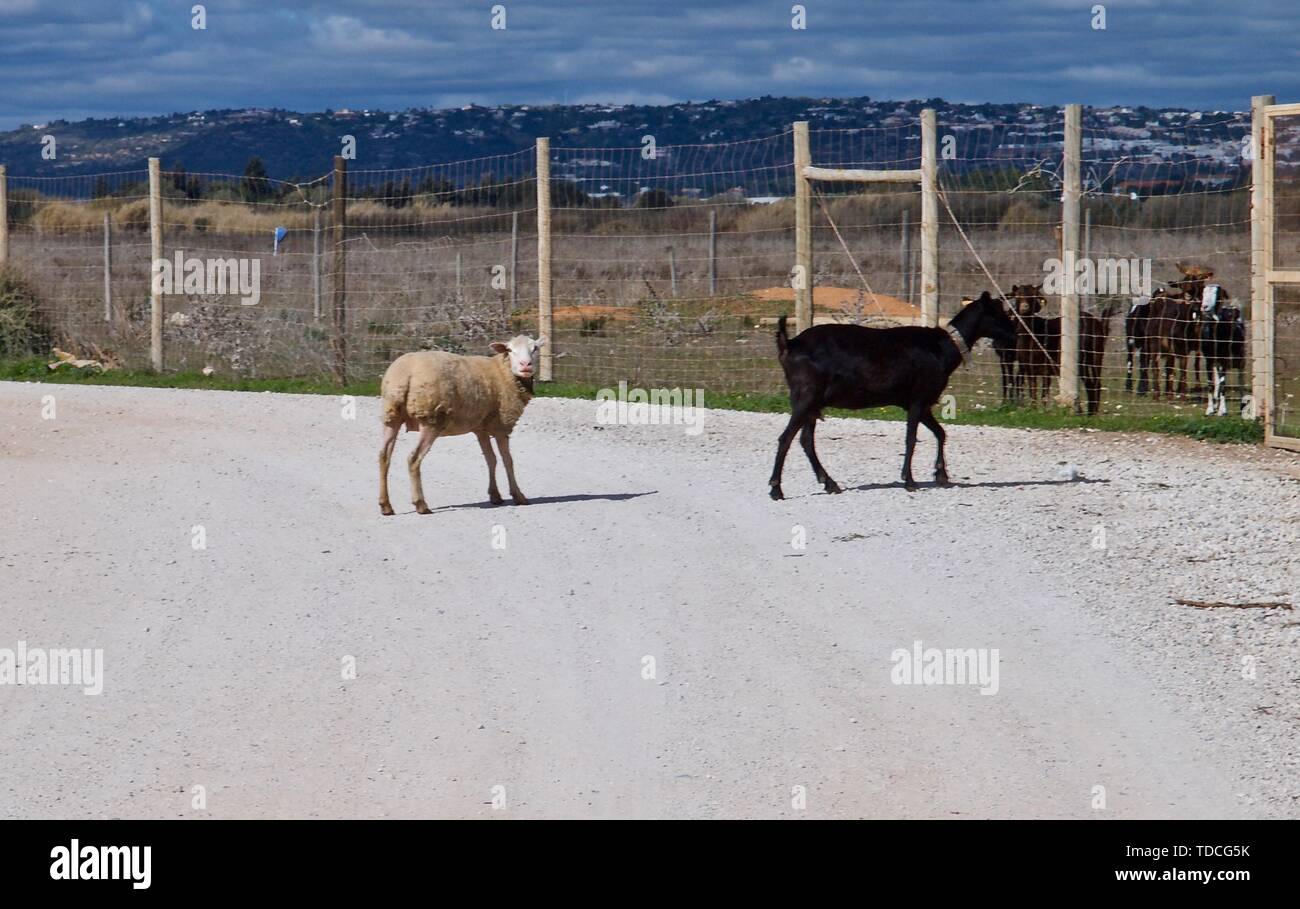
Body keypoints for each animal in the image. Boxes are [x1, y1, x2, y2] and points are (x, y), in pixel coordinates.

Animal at [378, 335, 546, 515]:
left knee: (384, 456)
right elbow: (508, 460)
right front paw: (518, 496)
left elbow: (491, 459)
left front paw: (495, 496)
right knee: (414, 459)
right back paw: (421, 504)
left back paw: (386, 505)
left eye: (535, 348)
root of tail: (404, 374)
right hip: (430, 418)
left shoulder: (480, 428)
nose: (526, 365)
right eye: (510, 350)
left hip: (391, 415)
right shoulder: (501, 426)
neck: (503, 372)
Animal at [768, 291, 1016, 497]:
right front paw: (909, 481)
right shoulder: (918, 398)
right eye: (998, 313)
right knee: (786, 438)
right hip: (806, 395)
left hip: (812, 402)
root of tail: (790, 343)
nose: (1014, 334)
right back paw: (776, 489)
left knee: (806, 440)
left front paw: (941, 475)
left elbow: (941, 433)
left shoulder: (921, 403)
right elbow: (911, 439)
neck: (943, 348)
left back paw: (829, 483)